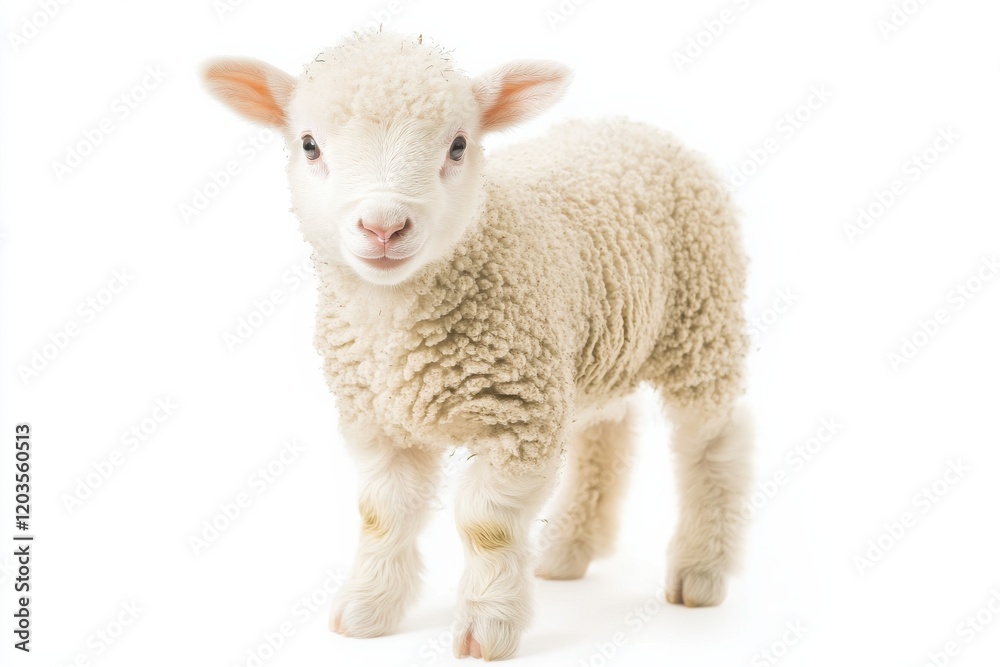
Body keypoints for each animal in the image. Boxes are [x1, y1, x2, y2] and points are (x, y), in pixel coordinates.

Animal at [203, 30, 753, 661]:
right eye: (310, 145)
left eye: (459, 145)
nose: (383, 227)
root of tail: (639, 129)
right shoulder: (377, 420)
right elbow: (382, 514)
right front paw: (368, 611)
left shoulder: (521, 418)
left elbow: (485, 526)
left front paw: (486, 628)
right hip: (599, 346)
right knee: (607, 431)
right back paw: (569, 548)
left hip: (702, 322)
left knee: (713, 444)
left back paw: (700, 569)